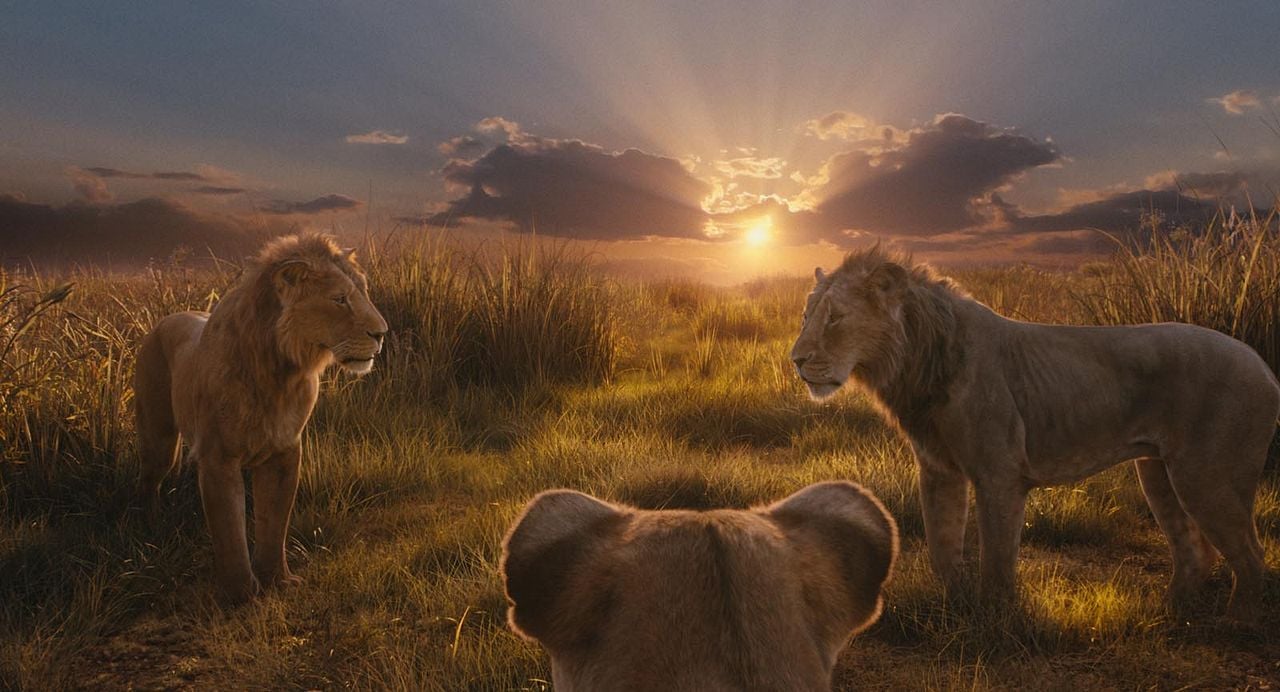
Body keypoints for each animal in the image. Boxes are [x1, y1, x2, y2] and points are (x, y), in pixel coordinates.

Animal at [133, 233, 388, 603]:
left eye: (364, 292)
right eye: (340, 299)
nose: (382, 334)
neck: (281, 372)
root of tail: (166, 319)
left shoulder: (284, 452)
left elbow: (274, 522)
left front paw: (277, 580)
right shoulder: (218, 458)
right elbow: (229, 529)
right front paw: (240, 594)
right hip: (158, 439)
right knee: (149, 481)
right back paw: (150, 530)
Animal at [791, 246, 1279, 618]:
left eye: (834, 317)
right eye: (806, 315)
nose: (796, 360)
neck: (915, 362)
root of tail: (1263, 365)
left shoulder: (1000, 473)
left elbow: (996, 559)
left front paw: (994, 621)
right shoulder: (938, 470)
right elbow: (941, 547)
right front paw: (956, 608)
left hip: (1205, 477)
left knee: (1251, 558)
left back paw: (1235, 624)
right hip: (1157, 472)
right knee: (1197, 552)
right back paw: (1170, 615)